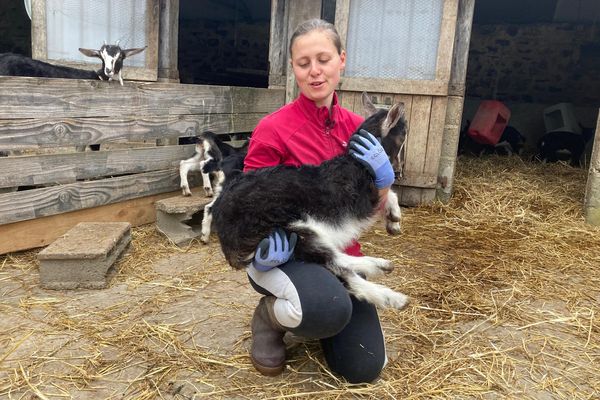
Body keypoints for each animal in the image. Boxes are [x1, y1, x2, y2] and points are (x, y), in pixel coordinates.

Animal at [209, 93, 410, 310]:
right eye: (403, 134)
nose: (399, 171)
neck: (357, 162)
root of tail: (226, 239)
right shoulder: (366, 196)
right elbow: (389, 192)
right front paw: (395, 218)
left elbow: (390, 193)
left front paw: (393, 222)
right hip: (287, 229)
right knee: (334, 261)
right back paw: (389, 289)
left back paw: (382, 274)